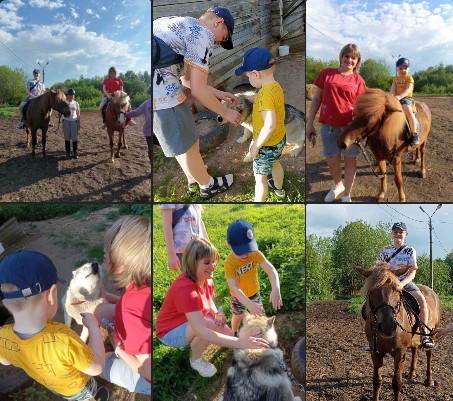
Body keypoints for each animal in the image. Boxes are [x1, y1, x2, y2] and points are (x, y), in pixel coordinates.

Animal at [354, 262, 440, 400]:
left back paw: (429, 379)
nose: (387, 326)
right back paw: (412, 374)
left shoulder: (399, 353)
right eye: (371, 291)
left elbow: (396, 383)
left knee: (429, 354)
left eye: (397, 291)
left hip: (432, 332)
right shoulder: (375, 353)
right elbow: (376, 381)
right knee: (415, 350)